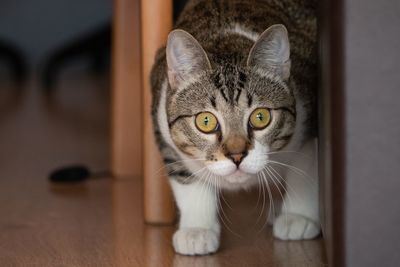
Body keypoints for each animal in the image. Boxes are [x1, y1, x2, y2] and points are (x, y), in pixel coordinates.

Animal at [150, 0, 318, 255]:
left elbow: (305, 170)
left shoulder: (309, 113)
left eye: (260, 117)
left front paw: (299, 217)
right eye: (205, 121)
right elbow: (186, 177)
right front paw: (197, 230)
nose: (237, 155)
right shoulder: (162, 121)